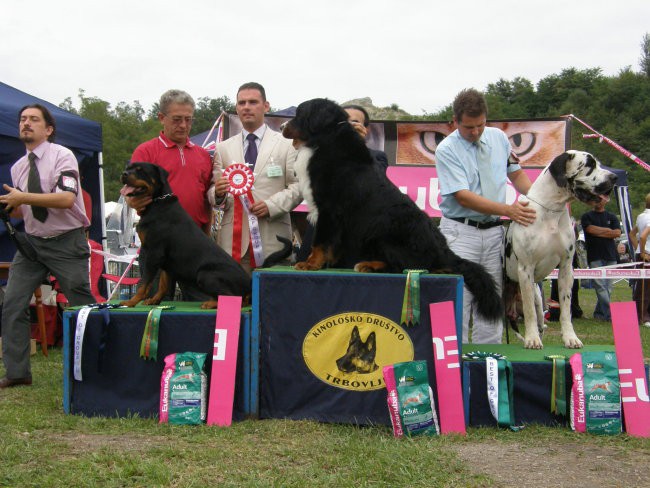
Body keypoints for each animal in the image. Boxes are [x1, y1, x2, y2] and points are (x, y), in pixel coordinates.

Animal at [119, 164, 251, 308]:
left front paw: (132, 301)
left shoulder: (154, 252)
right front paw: (155, 300)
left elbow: (144, 283)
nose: (124, 174)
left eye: (140, 170)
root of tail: (249, 283)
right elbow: (163, 284)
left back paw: (210, 303)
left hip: (205, 274)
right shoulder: (165, 260)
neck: (157, 203)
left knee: (232, 297)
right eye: (128, 167)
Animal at [504, 151, 616, 348]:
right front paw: (531, 339)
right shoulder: (525, 268)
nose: (614, 177)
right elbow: (528, 311)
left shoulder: (566, 268)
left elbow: (565, 309)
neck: (551, 210)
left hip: (538, 299)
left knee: (540, 320)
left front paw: (571, 338)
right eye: (590, 165)